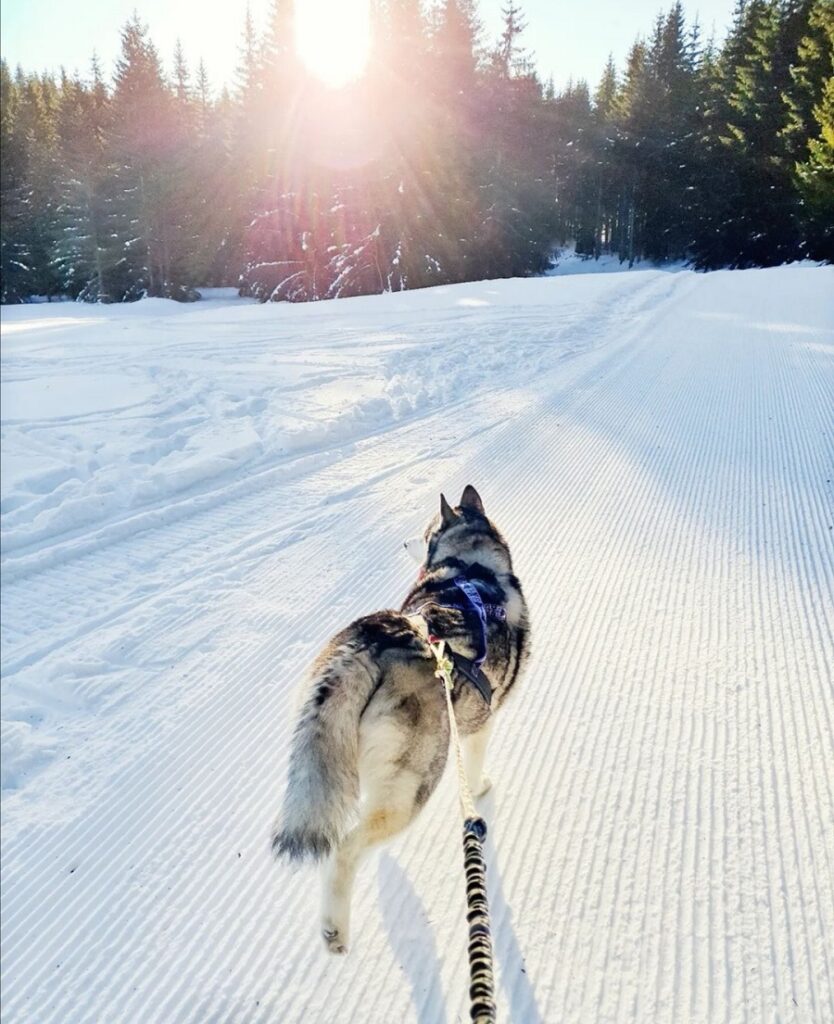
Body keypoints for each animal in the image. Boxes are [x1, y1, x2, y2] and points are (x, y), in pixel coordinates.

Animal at [276, 485, 536, 950]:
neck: (469, 567)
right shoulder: (480, 725)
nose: (404, 542)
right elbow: (473, 768)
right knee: (346, 847)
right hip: (414, 786)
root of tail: (374, 641)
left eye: (426, 530)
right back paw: (335, 928)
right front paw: (480, 788)